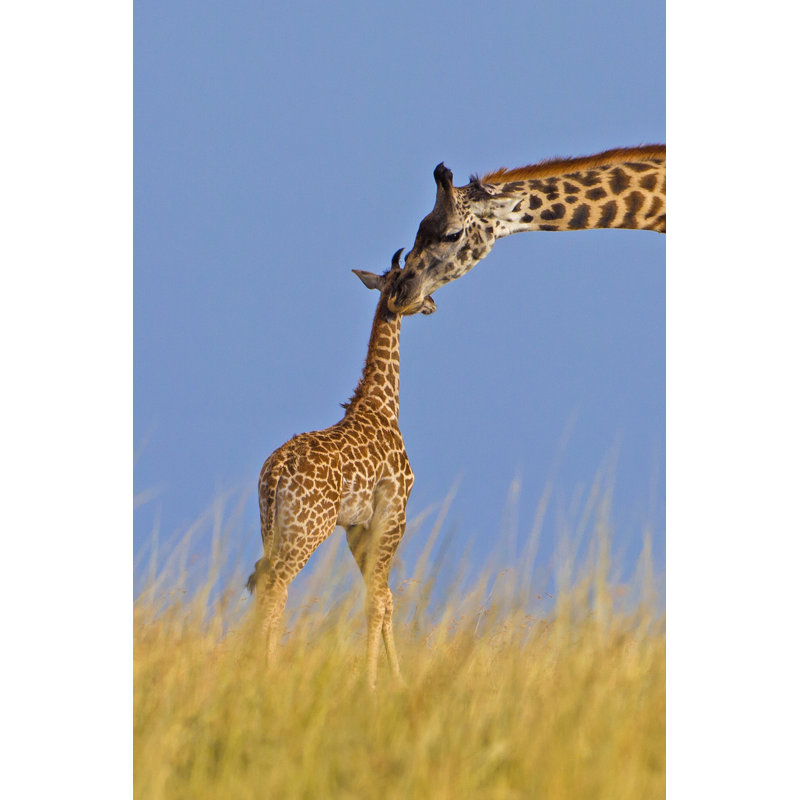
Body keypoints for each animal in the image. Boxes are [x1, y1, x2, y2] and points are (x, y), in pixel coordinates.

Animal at [247, 249, 435, 689]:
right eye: (415, 279)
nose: (432, 304)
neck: (382, 403)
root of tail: (275, 473)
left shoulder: (355, 526)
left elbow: (382, 597)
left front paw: (393, 679)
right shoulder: (393, 513)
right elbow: (379, 601)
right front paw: (375, 683)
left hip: (271, 525)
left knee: (262, 579)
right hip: (307, 528)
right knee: (277, 585)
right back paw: (269, 672)